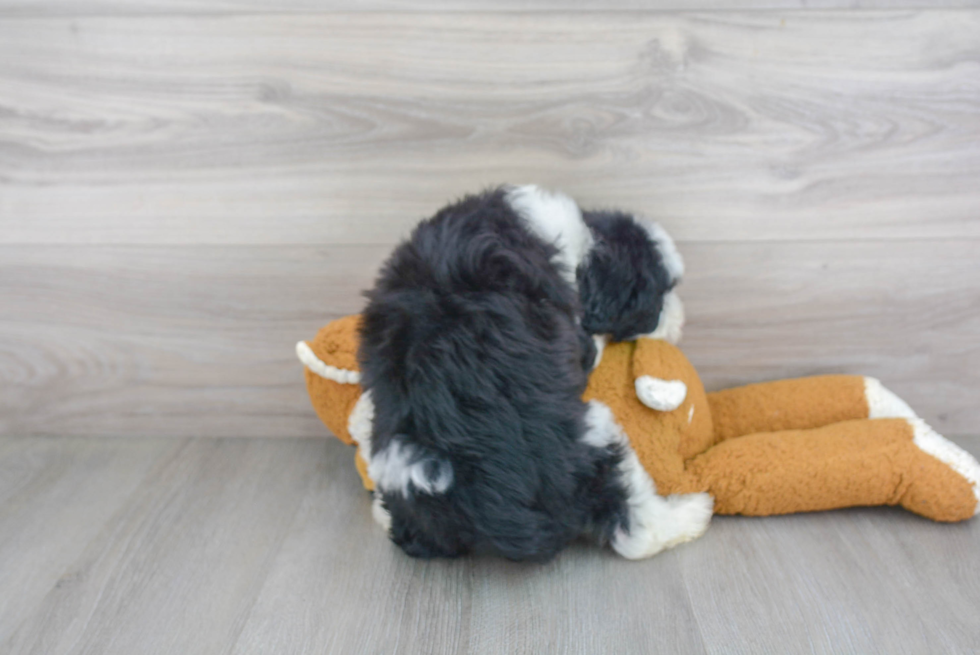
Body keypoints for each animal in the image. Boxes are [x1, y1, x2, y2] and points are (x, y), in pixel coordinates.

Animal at [356, 186, 708, 564]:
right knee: (634, 525)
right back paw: (691, 512)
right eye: (661, 294)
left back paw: (384, 514)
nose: (680, 320)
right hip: (591, 440)